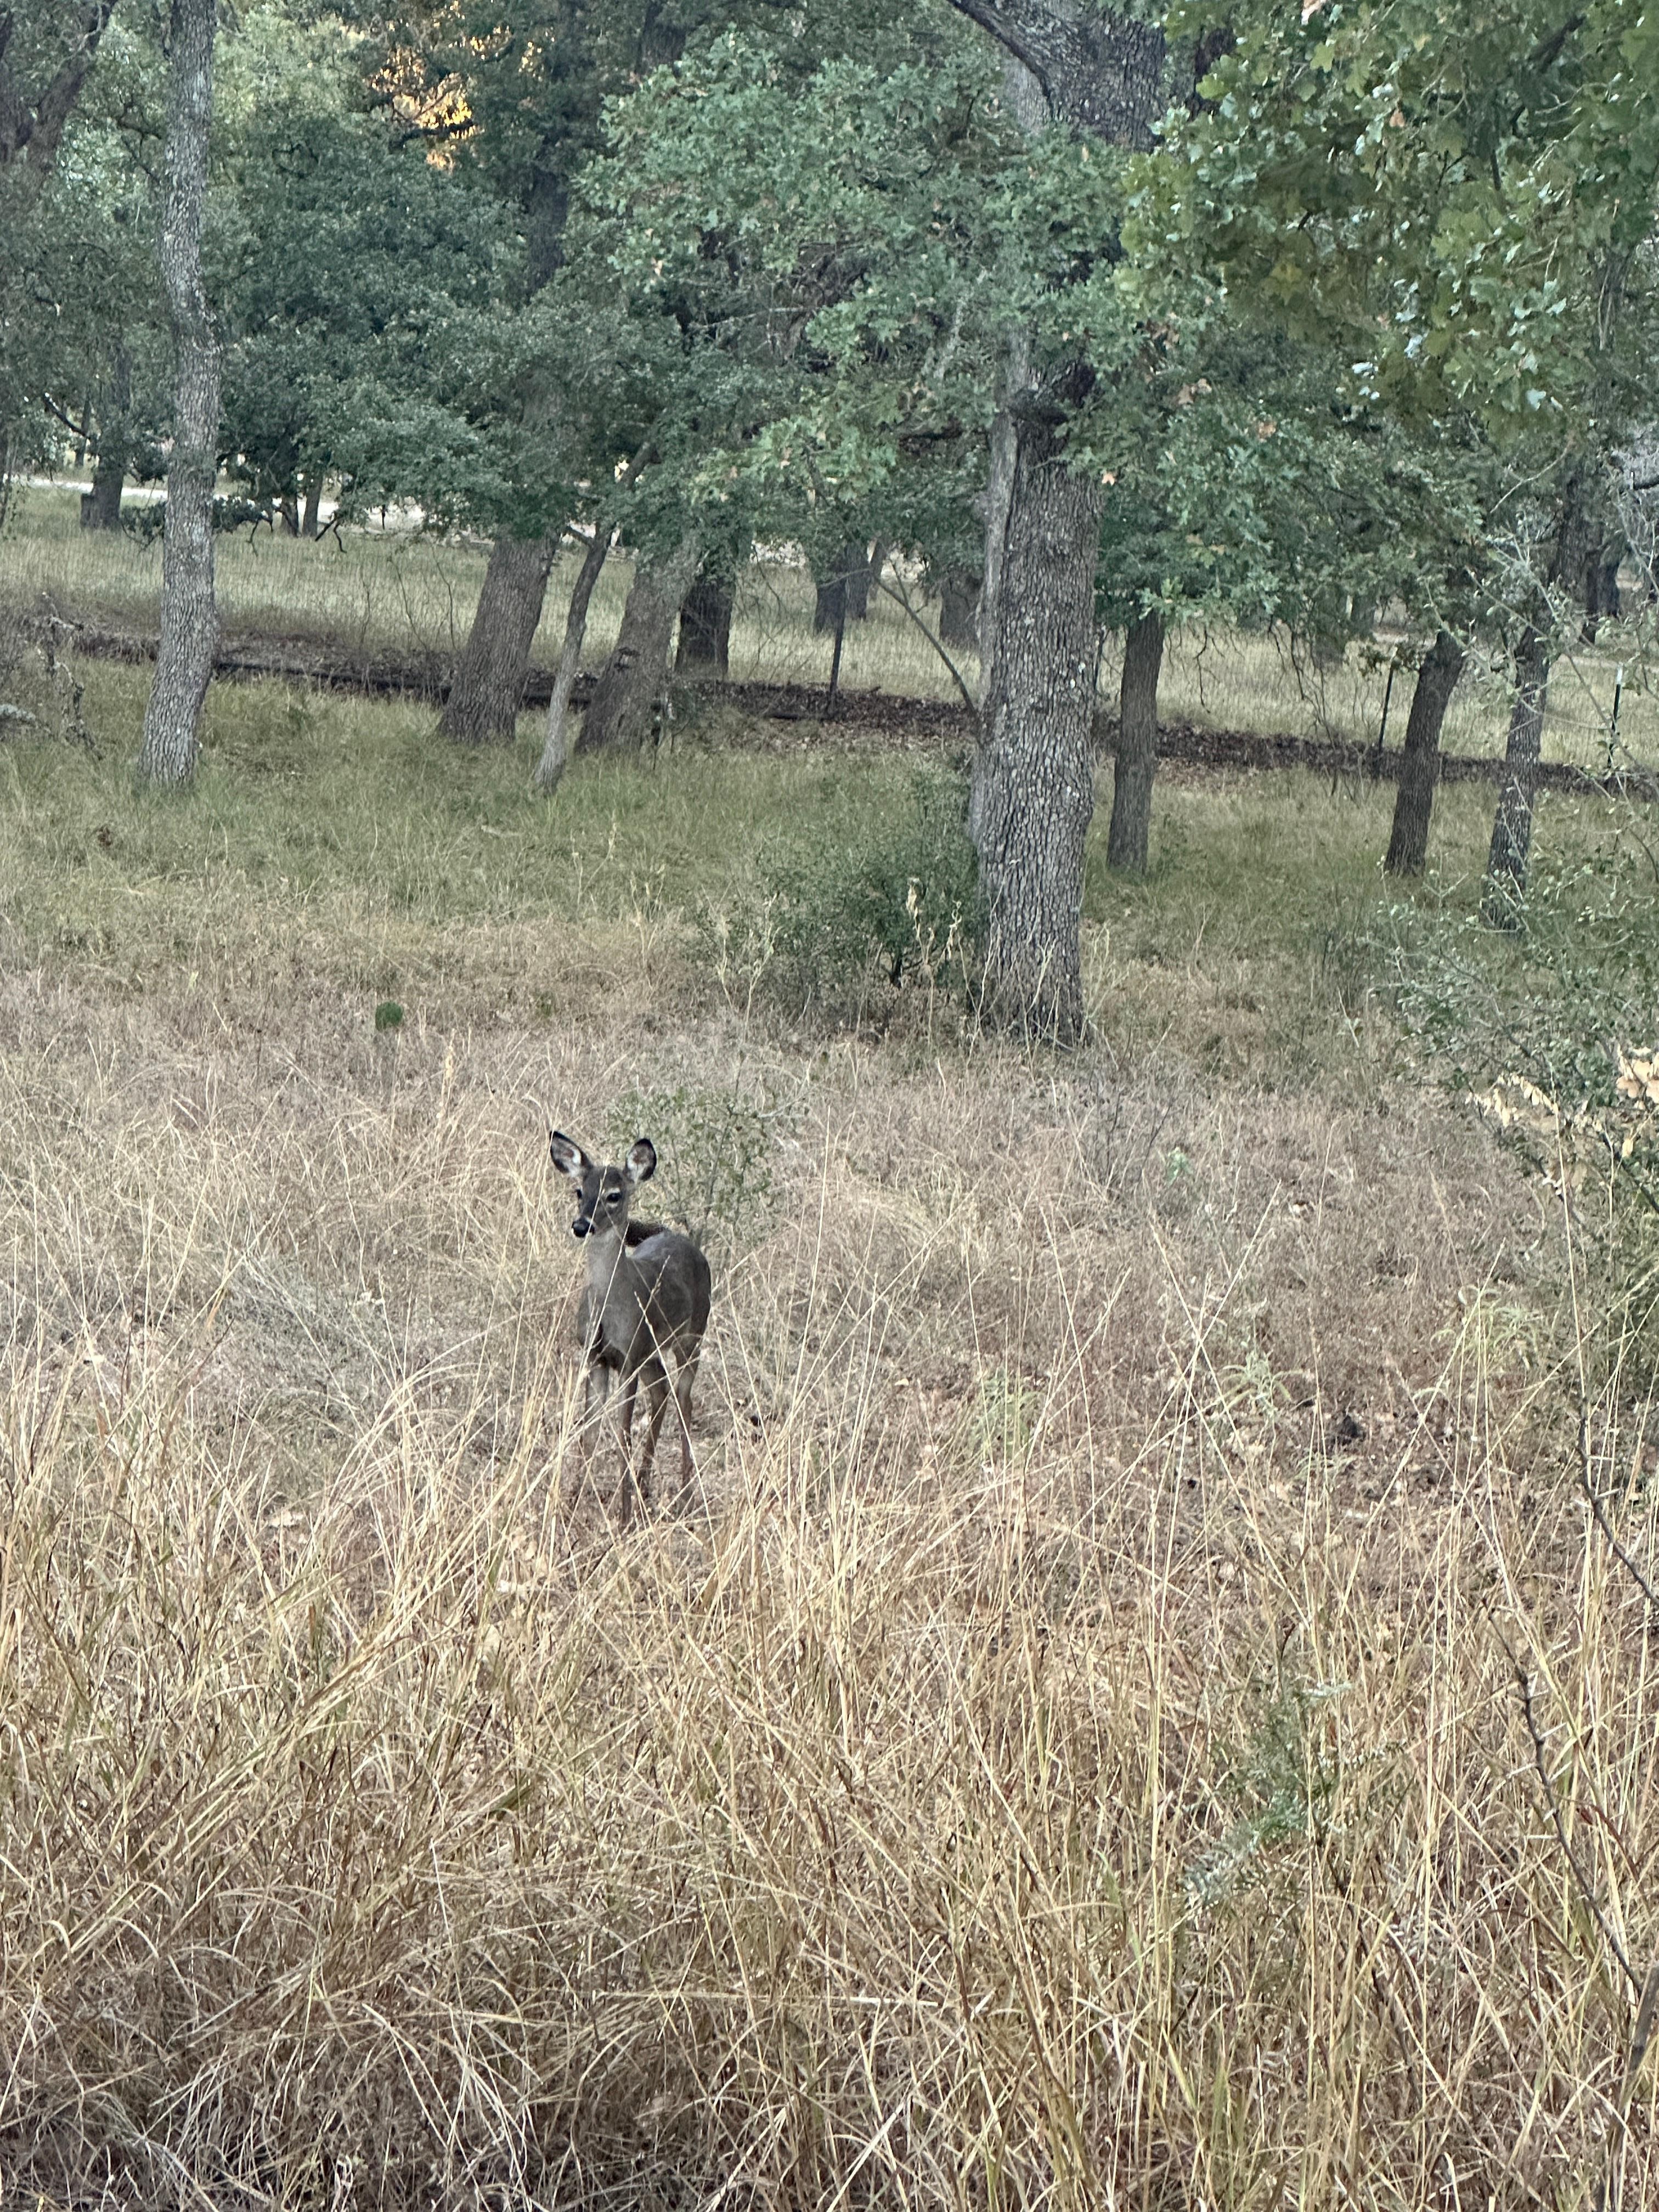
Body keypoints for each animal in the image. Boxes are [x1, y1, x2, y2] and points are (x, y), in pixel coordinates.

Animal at [548, 1131, 712, 1522]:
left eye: (614, 1195)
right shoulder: (596, 1357)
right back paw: (644, 1485)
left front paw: (623, 1519)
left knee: (684, 1401)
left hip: (691, 1337)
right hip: (651, 1353)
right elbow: (589, 1433)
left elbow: (622, 1436)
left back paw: (685, 1495)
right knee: (663, 1392)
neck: (611, 1307)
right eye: (580, 1191)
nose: (581, 1225)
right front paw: (571, 1504)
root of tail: (686, 1241)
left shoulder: (628, 1359)